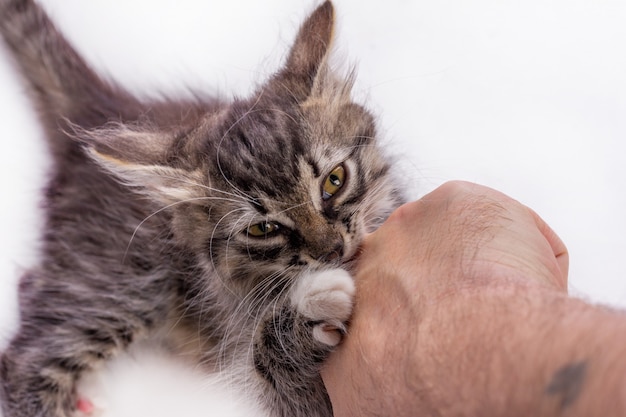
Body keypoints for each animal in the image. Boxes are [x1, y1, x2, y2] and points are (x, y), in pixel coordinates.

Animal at [0, 0, 400, 416]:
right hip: (122, 280)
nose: (332, 251)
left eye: (334, 181)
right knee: (26, 357)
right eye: (262, 229)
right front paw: (306, 315)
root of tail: (102, 108)